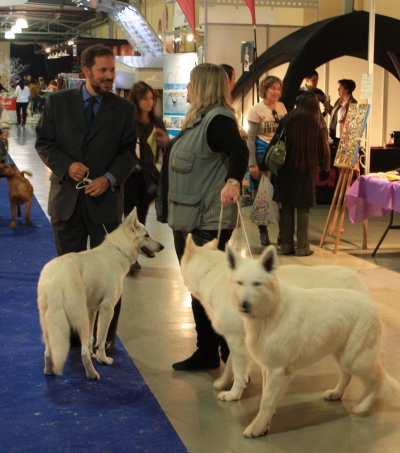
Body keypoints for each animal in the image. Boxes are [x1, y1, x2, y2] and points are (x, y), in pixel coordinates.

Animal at [36, 208, 163, 378]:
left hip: (48, 320)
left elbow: (92, 337)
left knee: (49, 351)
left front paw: (93, 353)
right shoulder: (107, 308)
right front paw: (102, 359)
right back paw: (92, 374)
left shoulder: (92, 309)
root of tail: (58, 275)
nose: (162, 246)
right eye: (147, 235)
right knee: (82, 353)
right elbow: (101, 339)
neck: (118, 250)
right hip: (79, 317)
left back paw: (49, 371)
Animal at [181, 235, 368, 400]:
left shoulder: (236, 341)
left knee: (348, 373)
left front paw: (234, 394)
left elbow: (237, 370)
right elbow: (230, 364)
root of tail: (356, 277)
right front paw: (224, 383)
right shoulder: (239, 341)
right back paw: (337, 394)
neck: (212, 275)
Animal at [225, 245, 400, 436]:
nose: (244, 305)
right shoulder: (268, 368)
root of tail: (369, 300)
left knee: (376, 377)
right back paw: (337, 393)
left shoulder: (278, 371)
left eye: (257, 284)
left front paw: (257, 427)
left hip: (356, 360)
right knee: (348, 375)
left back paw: (364, 406)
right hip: (341, 355)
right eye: (240, 283)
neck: (271, 310)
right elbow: (266, 396)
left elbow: (267, 402)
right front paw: (266, 423)